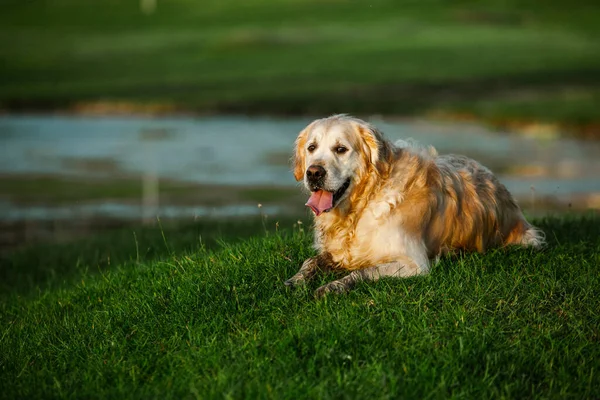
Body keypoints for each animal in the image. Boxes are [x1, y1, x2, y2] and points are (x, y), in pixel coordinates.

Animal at [284, 115, 544, 296]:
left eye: (341, 149)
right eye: (311, 148)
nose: (313, 173)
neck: (364, 203)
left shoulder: (414, 264)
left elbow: (365, 270)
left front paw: (334, 286)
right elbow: (311, 261)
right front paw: (296, 280)